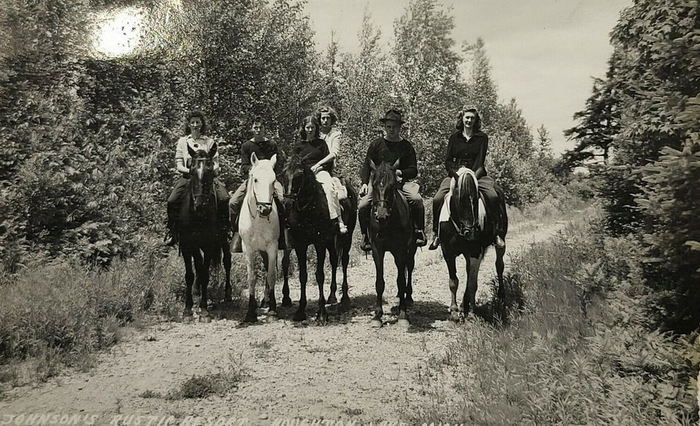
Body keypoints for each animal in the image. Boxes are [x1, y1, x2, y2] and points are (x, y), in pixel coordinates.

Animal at [176, 143, 231, 320]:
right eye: (192, 171)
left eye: (210, 171)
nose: (200, 204)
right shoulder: (187, 244)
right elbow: (190, 273)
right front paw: (188, 310)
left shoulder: (209, 244)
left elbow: (205, 273)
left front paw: (204, 310)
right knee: (198, 265)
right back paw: (196, 290)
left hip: (223, 239)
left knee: (227, 261)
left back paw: (227, 294)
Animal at [366, 158, 416, 328]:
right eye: (374, 184)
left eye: (392, 185)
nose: (381, 216)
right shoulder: (377, 250)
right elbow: (379, 282)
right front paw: (377, 316)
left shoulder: (401, 250)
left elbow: (400, 280)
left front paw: (403, 315)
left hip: (410, 250)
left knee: (409, 269)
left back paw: (408, 298)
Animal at [438, 168, 508, 322]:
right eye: (459, 199)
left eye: (476, 199)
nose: (470, 232)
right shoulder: (448, 252)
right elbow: (453, 281)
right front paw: (454, 311)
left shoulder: (475, 251)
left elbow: (472, 283)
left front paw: (471, 313)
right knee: (469, 272)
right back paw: (464, 305)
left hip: (500, 242)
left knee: (499, 265)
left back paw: (501, 296)